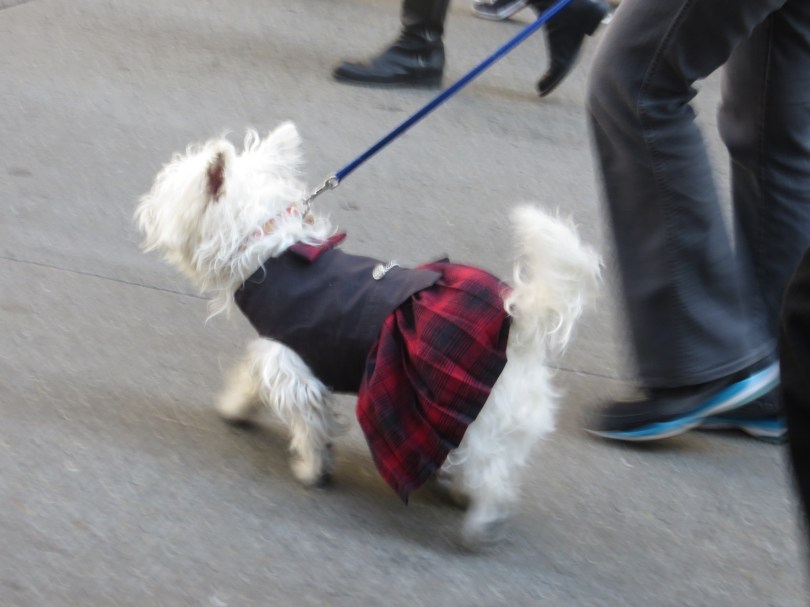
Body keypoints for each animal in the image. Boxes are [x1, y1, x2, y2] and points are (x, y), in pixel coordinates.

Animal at [135, 122, 600, 549]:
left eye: (167, 191)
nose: (143, 208)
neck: (269, 250)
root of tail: (515, 320)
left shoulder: (290, 361)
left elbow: (307, 421)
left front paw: (311, 469)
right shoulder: (278, 352)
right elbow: (252, 381)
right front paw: (236, 407)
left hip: (478, 412)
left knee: (492, 471)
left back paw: (482, 521)